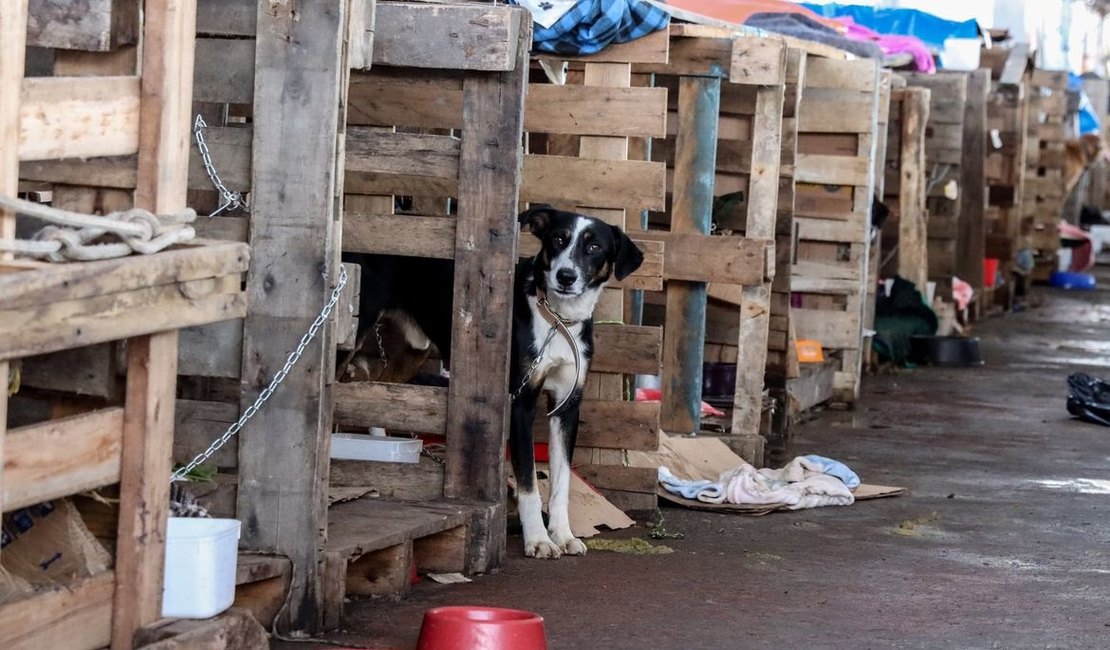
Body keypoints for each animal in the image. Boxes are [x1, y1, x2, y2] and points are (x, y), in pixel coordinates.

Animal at [341, 204, 648, 556]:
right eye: (558, 239)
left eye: (594, 246)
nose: (566, 276)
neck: (557, 321)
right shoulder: (520, 403)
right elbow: (529, 483)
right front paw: (538, 540)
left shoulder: (567, 407)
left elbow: (561, 483)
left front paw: (563, 534)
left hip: (412, 351)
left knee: (377, 391)